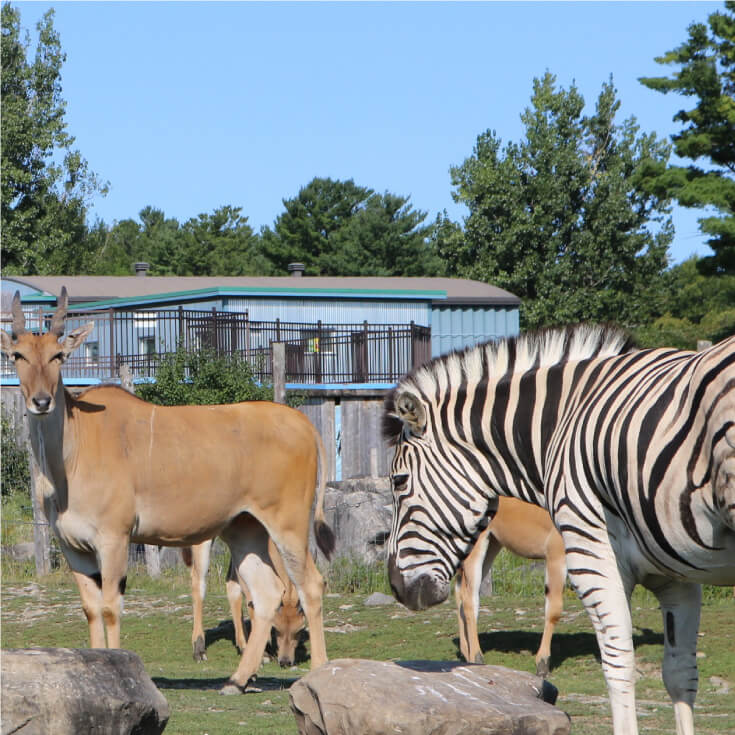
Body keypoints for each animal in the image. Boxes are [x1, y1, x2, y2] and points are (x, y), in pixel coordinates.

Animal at [185, 520, 310, 668]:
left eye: (300, 630)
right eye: (276, 629)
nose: (285, 662)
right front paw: (262, 655)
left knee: (230, 583)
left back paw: (243, 646)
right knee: (198, 581)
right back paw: (199, 651)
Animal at [454, 494, 568, 680]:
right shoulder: (556, 553)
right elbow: (554, 610)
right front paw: (542, 664)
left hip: (492, 543)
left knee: (459, 592)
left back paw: (466, 653)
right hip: (478, 544)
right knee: (469, 598)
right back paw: (477, 657)